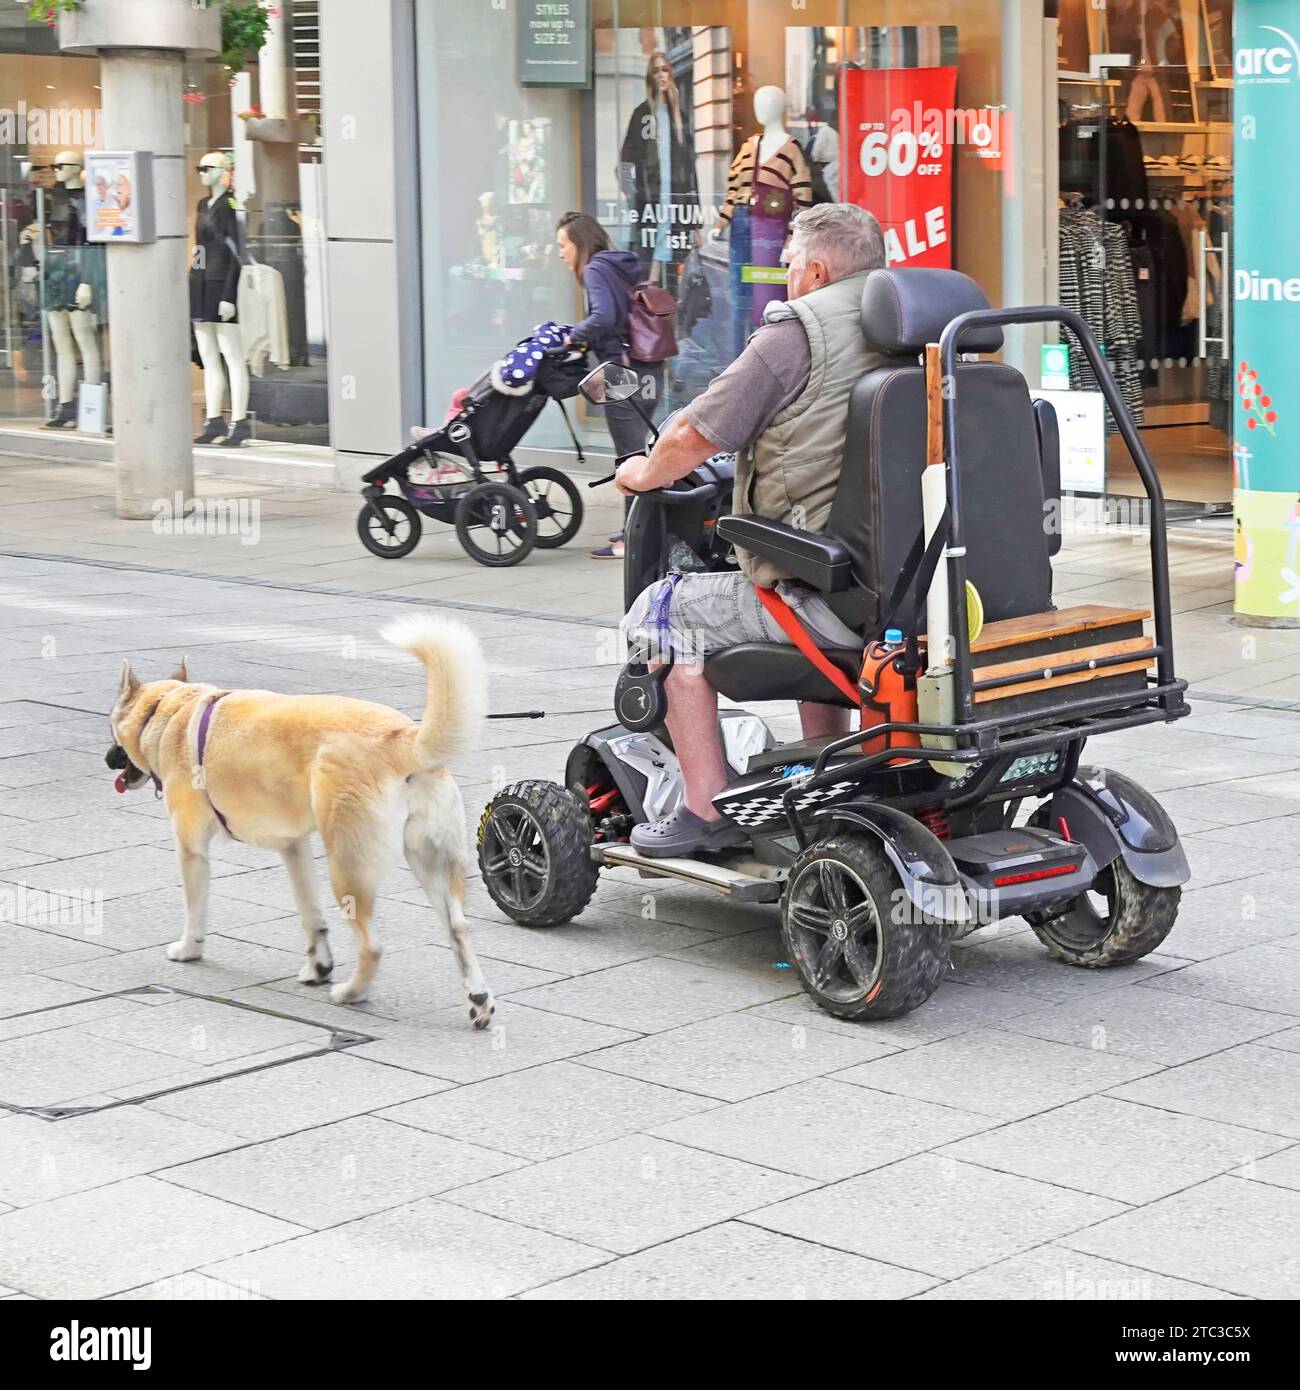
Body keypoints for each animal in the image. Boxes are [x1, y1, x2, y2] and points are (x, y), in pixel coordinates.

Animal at [107, 614, 497, 1028]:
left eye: (111, 725)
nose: (108, 758)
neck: (169, 711)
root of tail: (404, 737)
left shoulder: (191, 849)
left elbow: (195, 910)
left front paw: (188, 949)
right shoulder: (293, 848)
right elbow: (311, 916)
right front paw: (318, 966)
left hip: (348, 869)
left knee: (373, 945)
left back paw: (352, 993)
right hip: (430, 862)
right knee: (458, 928)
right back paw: (478, 999)